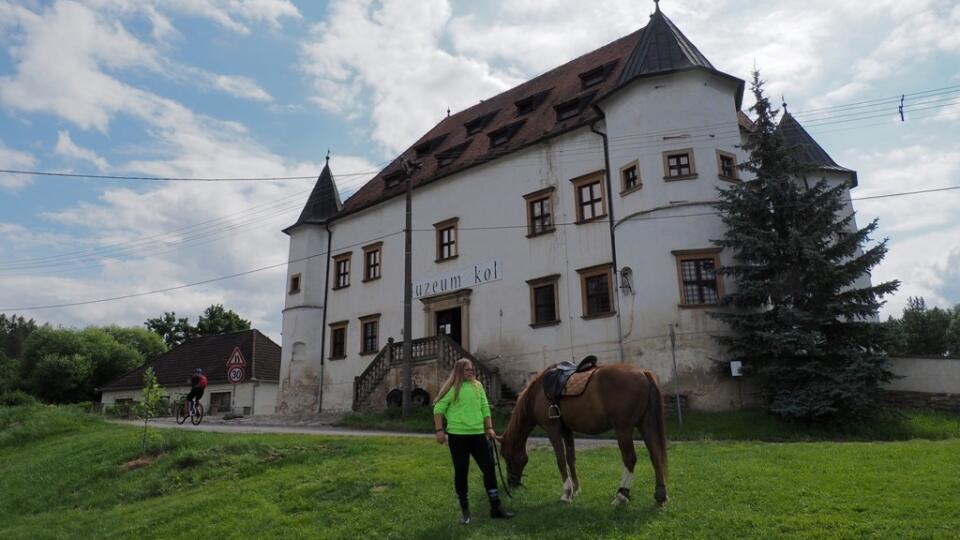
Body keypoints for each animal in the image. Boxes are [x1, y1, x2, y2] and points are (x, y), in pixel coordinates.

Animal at [502, 362, 668, 506]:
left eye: (506, 457)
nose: (512, 484)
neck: (537, 393)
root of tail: (643, 372)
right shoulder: (567, 431)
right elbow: (571, 459)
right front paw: (576, 489)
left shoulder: (552, 430)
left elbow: (560, 460)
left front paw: (566, 493)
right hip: (645, 424)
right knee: (655, 455)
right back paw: (660, 495)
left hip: (624, 428)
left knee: (630, 459)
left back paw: (621, 495)